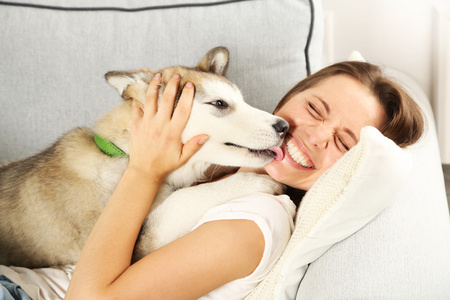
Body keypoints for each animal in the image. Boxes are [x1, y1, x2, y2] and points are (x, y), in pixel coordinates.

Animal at [0, 47, 288, 268]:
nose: (284, 126)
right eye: (219, 104)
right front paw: (256, 182)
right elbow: (184, 198)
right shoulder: (134, 249)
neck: (127, 158)